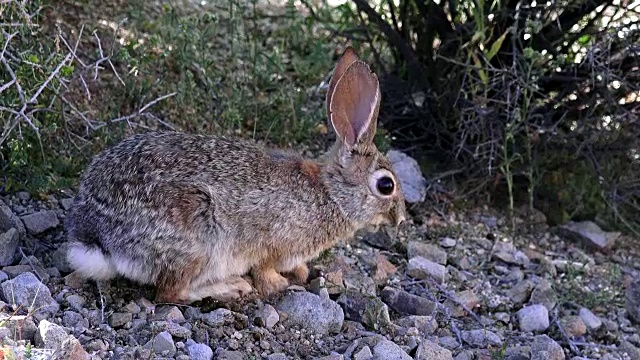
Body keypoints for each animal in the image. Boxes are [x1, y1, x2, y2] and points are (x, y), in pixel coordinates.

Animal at [63, 45, 404, 304]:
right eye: (386, 185)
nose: (400, 219)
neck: (331, 193)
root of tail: (99, 237)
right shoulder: (272, 243)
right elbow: (265, 269)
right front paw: (279, 284)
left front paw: (302, 272)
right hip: (197, 238)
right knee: (169, 293)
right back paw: (228, 288)